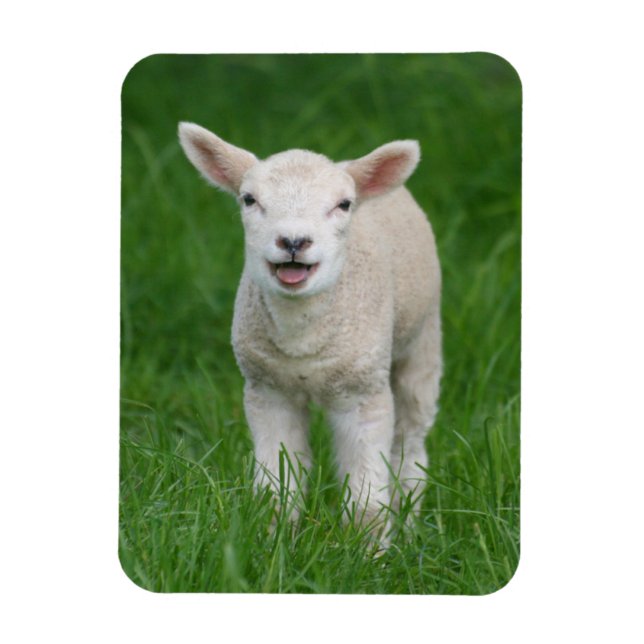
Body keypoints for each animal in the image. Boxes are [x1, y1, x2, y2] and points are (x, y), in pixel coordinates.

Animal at [178, 122, 442, 539]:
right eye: (249, 199)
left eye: (344, 205)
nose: (293, 241)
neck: (301, 341)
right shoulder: (268, 391)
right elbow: (276, 490)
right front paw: (273, 541)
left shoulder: (363, 394)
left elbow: (367, 502)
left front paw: (367, 552)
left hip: (423, 339)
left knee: (411, 443)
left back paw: (411, 524)